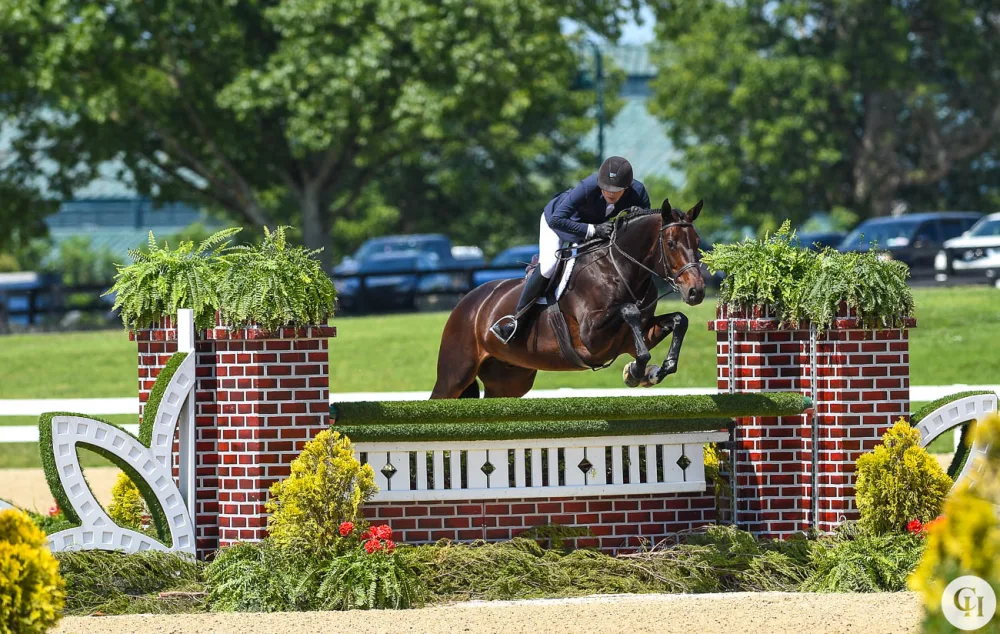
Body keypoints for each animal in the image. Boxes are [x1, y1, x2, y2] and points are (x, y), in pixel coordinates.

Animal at [434, 198, 708, 398]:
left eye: (697, 242)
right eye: (670, 243)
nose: (696, 291)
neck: (619, 269)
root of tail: (467, 302)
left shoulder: (633, 337)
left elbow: (679, 320)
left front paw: (656, 370)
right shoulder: (591, 337)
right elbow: (629, 310)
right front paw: (636, 371)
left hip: (509, 380)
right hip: (455, 375)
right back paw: (507, 327)